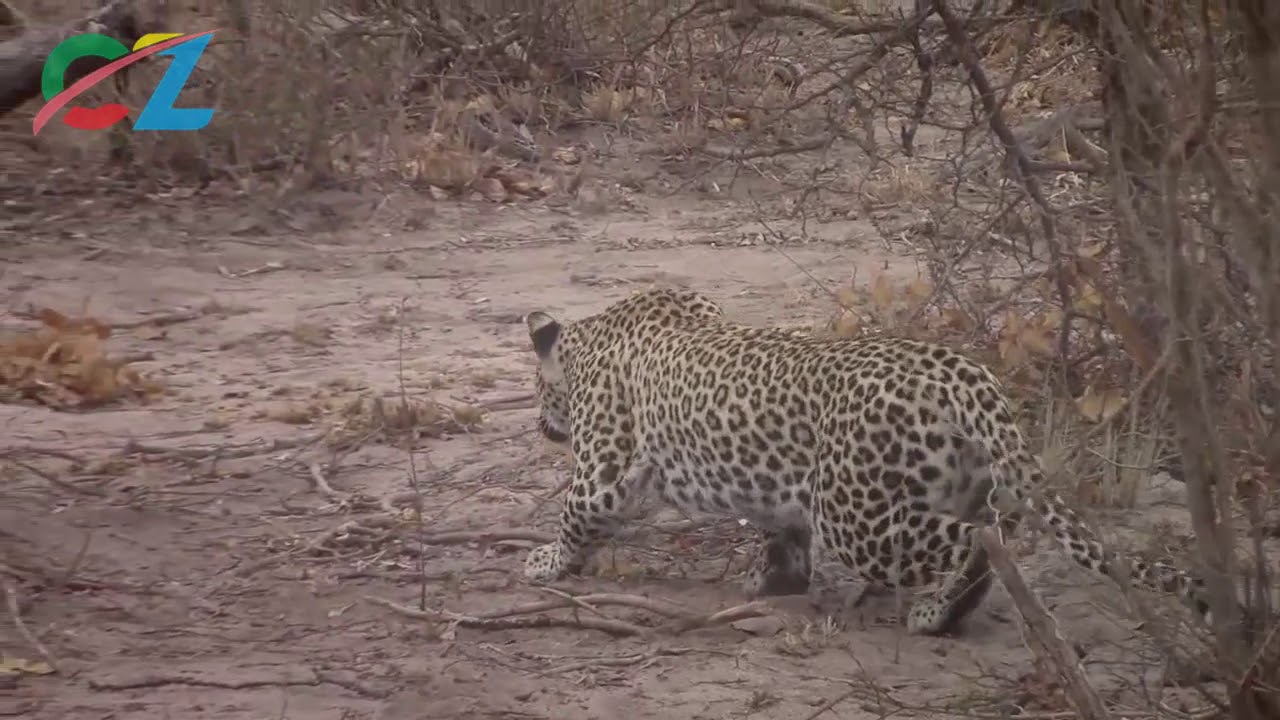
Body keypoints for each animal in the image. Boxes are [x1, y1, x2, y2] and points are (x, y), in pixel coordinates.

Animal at [519, 286, 1214, 635]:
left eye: (536, 391)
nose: (542, 427)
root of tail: (960, 371)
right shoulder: (781, 490)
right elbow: (782, 532)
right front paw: (777, 581)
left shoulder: (604, 469)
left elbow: (578, 512)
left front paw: (545, 563)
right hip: (948, 482)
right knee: (997, 523)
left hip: (857, 517)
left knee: (982, 538)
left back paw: (937, 613)